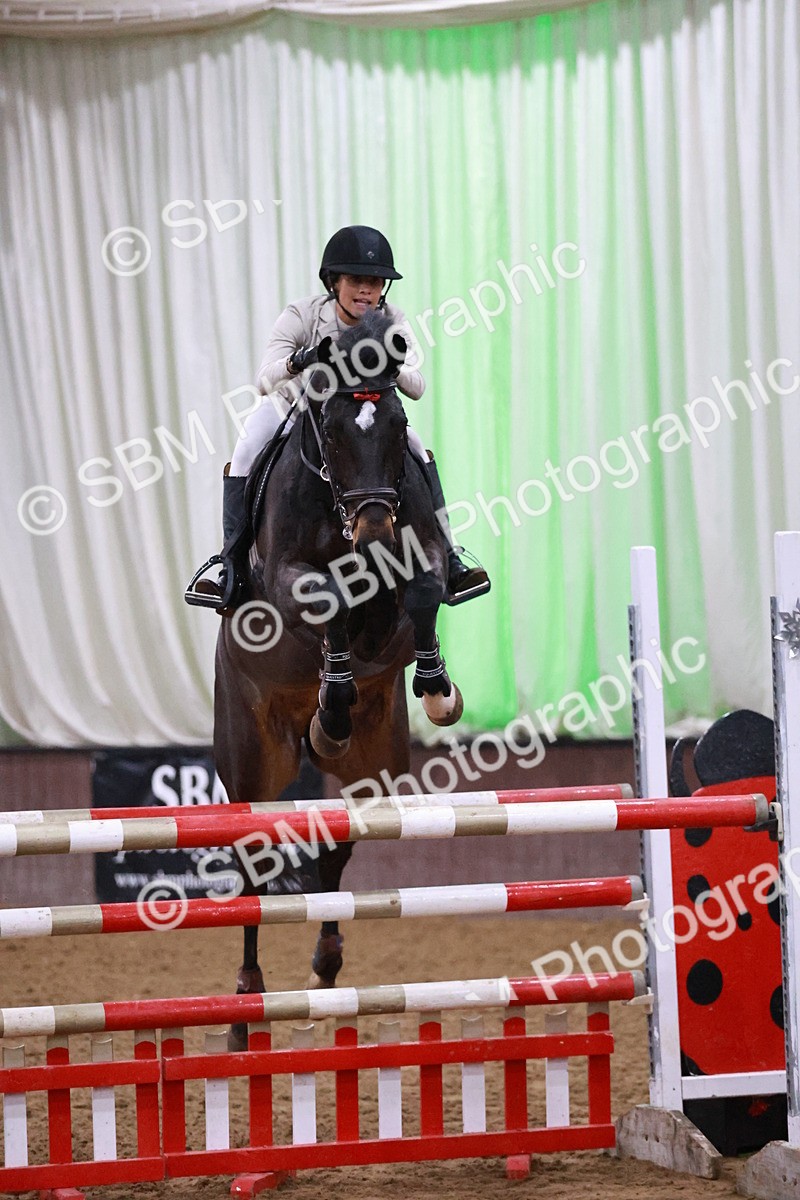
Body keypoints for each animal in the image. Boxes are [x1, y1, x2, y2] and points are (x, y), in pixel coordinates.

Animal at [213, 308, 464, 1048]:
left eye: (397, 424)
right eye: (329, 424)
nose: (374, 523)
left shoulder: (415, 561)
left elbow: (422, 590)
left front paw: (437, 689)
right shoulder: (290, 579)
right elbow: (329, 598)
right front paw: (336, 685)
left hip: (373, 769)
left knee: (337, 847)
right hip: (250, 762)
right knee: (252, 867)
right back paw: (246, 1002)